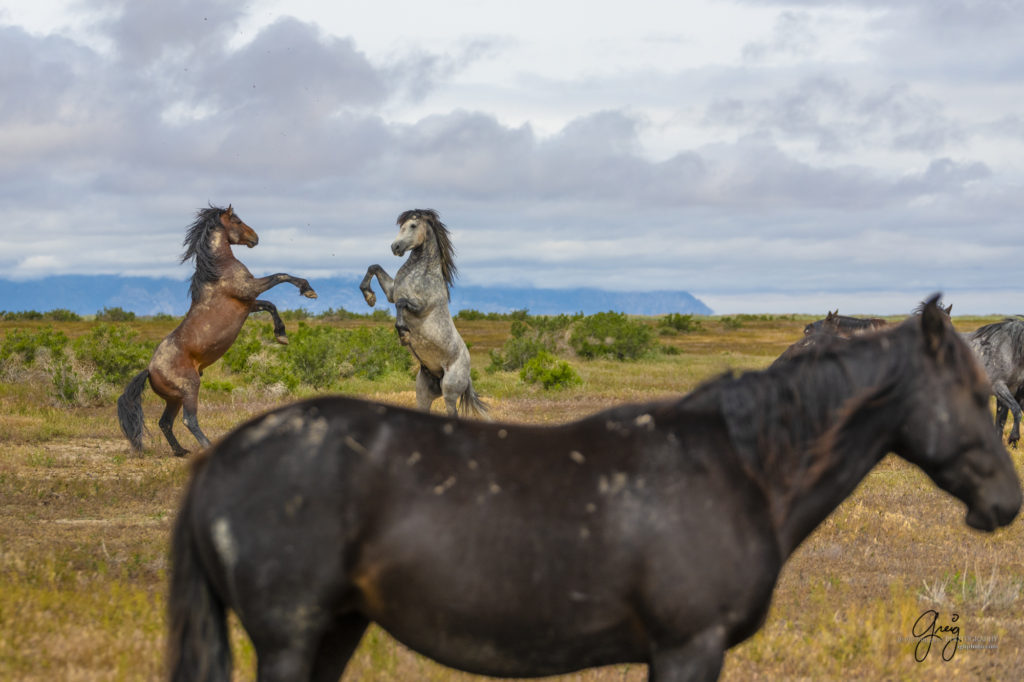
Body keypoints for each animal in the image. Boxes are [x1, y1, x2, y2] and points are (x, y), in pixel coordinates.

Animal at [117, 204, 315, 454]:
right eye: (237, 220)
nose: (255, 238)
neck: (220, 268)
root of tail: (150, 370)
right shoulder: (250, 289)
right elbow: (281, 276)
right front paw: (308, 290)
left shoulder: (249, 303)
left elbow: (271, 305)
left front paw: (282, 336)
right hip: (190, 388)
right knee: (189, 420)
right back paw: (208, 446)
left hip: (174, 399)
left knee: (165, 422)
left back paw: (181, 451)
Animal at [165, 296, 1015, 679]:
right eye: (974, 394)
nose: (1007, 501)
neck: (736, 466)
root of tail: (223, 460)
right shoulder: (686, 646)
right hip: (290, 635)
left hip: (335, 630)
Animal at [360, 206, 487, 417]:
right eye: (401, 226)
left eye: (412, 225)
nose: (395, 247)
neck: (421, 273)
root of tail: (468, 373)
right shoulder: (392, 292)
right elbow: (374, 268)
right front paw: (369, 297)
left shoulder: (420, 306)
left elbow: (401, 304)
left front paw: (403, 334)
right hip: (423, 392)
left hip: (449, 391)